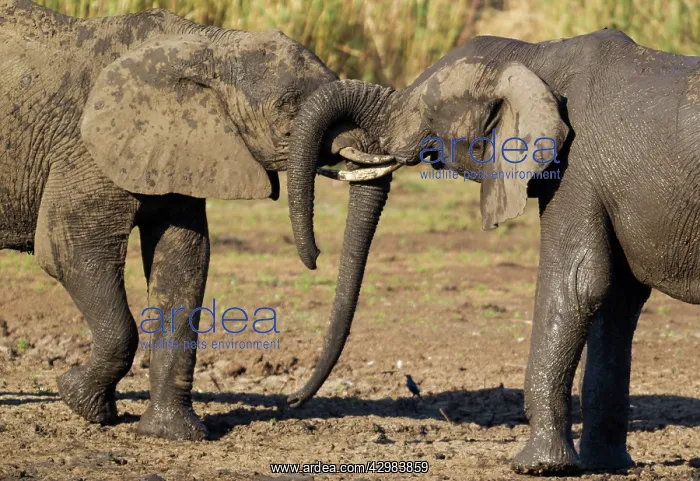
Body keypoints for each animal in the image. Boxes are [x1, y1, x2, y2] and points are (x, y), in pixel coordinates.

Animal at [0, 0, 393, 440]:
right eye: (288, 104)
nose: (293, 401)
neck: (208, 46)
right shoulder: (84, 150)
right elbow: (71, 252)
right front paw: (79, 400)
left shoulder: (181, 147)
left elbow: (183, 263)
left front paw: (174, 435)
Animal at [285, 28, 700, 474]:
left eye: (426, 109)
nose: (292, 400)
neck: (536, 57)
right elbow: (616, 300)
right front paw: (604, 465)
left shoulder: (576, 170)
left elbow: (576, 284)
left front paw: (536, 466)